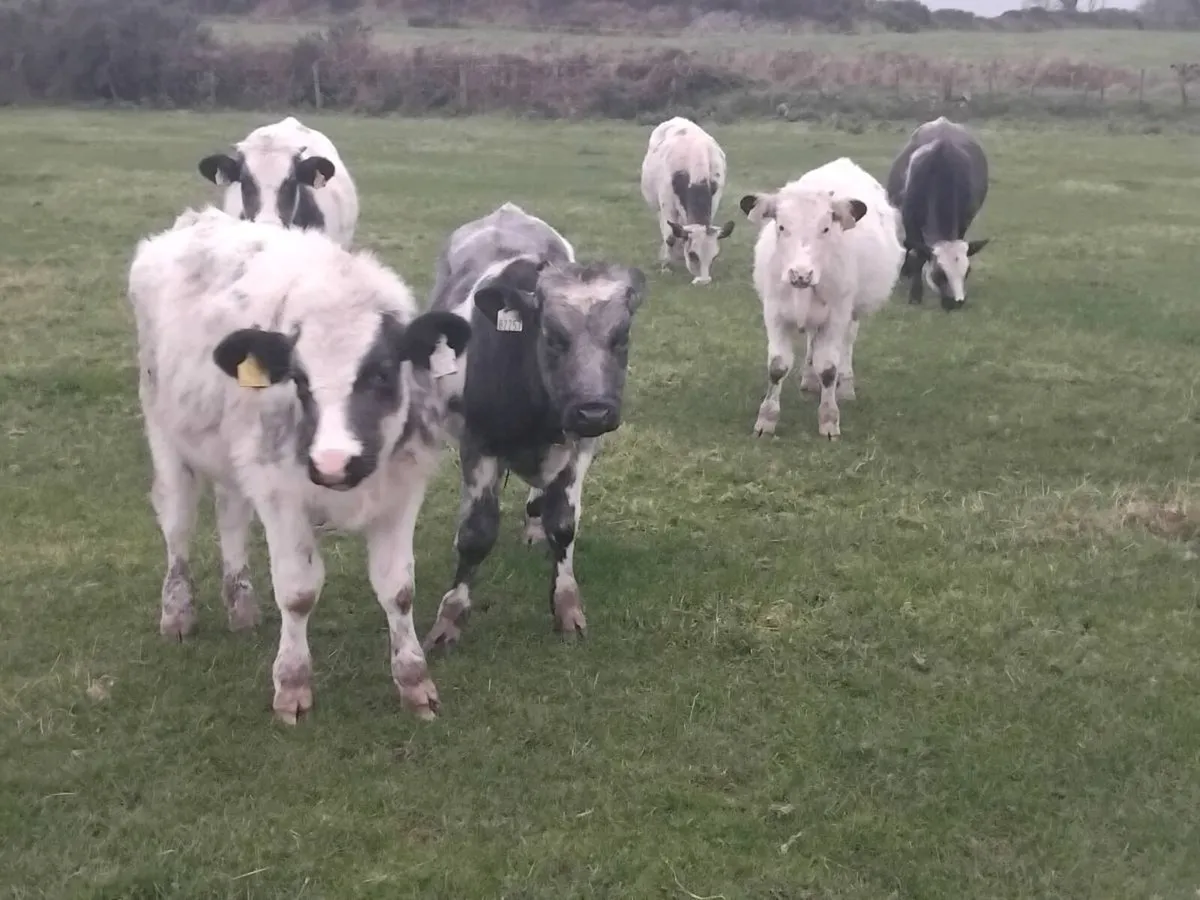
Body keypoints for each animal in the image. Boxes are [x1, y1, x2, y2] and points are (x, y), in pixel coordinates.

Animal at [127, 206, 471, 723]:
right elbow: (297, 591)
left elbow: (398, 589)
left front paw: (415, 681)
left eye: (382, 373)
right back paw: (178, 612)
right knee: (178, 527)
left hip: (235, 458)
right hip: (166, 436)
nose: (333, 462)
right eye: (300, 381)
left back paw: (241, 605)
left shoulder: (402, 490)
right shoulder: (280, 494)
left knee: (230, 517)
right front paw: (292, 684)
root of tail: (196, 220)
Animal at [422, 202, 646, 647]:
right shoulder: (479, 446)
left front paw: (567, 606)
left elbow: (564, 525)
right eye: (553, 337)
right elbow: (475, 534)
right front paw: (450, 618)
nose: (594, 411)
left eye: (621, 338)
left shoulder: (579, 447)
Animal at [639, 116, 735, 285]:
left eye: (714, 257)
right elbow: (670, 237)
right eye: (692, 254)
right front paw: (666, 267)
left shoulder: (714, 200)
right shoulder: (667, 204)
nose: (703, 281)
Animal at [740, 157, 905, 440]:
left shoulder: (837, 315)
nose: (801, 274)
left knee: (846, 344)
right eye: (781, 226)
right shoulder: (774, 312)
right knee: (811, 343)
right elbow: (777, 366)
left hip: (851, 314)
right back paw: (808, 380)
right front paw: (766, 420)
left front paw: (829, 420)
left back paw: (846, 386)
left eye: (826, 228)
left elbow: (828, 368)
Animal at [885, 116, 990, 311]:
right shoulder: (910, 219)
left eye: (967, 271)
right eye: (940, 273)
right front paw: (915, 295)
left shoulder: (964, 220)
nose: (957, 302)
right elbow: (917, 253)